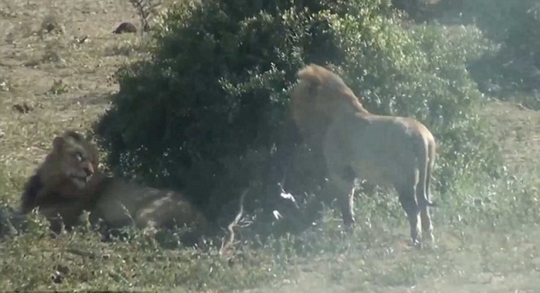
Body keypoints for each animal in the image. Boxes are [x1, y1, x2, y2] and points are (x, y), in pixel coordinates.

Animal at [288, 64, 436, 246]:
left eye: (297, 97)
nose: (292, 115)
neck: (334, 115)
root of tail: (423, 136)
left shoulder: (341, 172)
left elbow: (346, 203)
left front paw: (348, 232)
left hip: (404, 180)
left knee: (413, 208)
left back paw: (416, 241)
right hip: (425, 177)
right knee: (424, 205)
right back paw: (430, 239)